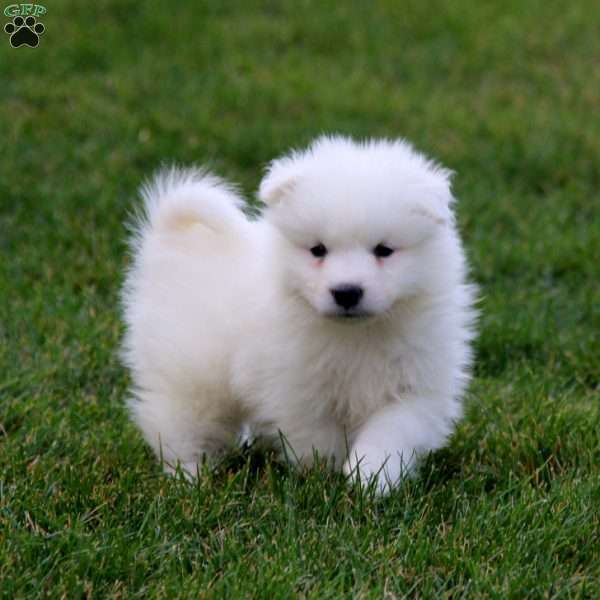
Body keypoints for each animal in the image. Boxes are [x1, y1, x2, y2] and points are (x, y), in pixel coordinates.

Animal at [122, 136, 478, 492]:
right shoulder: (296, 388)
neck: (356, 334)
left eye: (384, 251)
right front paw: (323, 475)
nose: (347, 292)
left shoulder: (417, 385)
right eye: (318, 250)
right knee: (178, 425)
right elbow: (317, 435)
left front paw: (369, 478)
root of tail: (171, 242)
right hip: (186, 375)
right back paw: (188, 477)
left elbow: (392, 431)